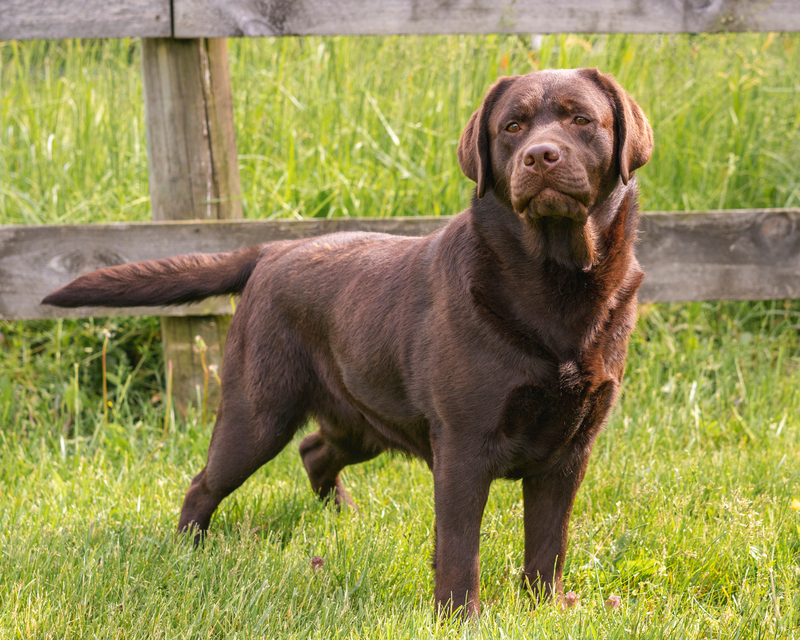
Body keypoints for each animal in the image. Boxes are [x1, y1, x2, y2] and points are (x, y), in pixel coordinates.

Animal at [43, 67, 652, 616]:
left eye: (580, 120)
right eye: (512, 127)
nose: (539, 155)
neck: (554, 285)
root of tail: (269, 252)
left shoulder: (571, 450)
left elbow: (549, 545)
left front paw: (545, 608)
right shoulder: (463, 444)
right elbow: (460, 549)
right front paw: (460, 618)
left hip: (361, 423)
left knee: (315, 450)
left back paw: (342, 519)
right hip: (257, 416)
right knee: (205, 482)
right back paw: (189, 551)